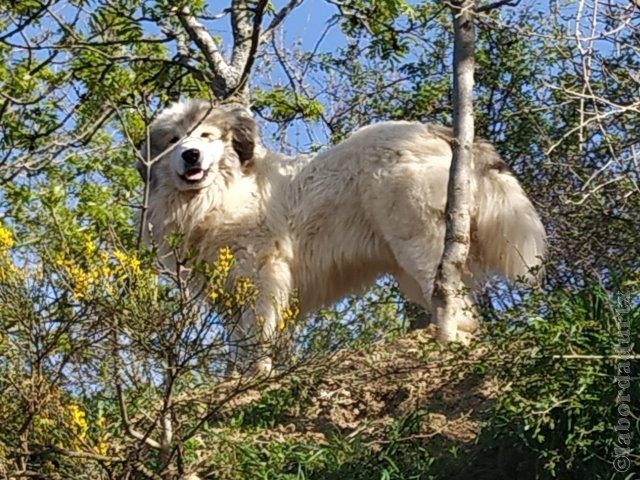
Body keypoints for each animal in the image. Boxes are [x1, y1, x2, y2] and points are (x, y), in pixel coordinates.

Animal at [136, 100, 544, 372]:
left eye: (206, 135)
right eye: (173, 140)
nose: (190, 155)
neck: (223, 194)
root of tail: (436, 132)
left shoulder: (263, 274)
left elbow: (258, 334)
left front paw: (255, 375)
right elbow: (239, 339)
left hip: (418, 244)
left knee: (450, 294)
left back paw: (448, 337)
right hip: (408, 269)